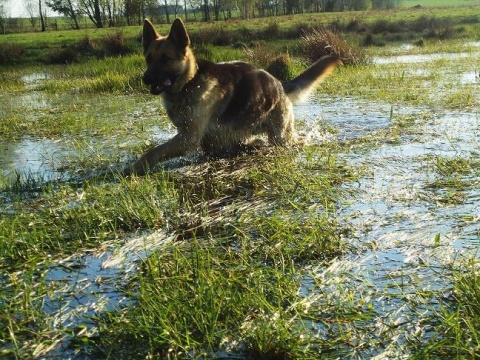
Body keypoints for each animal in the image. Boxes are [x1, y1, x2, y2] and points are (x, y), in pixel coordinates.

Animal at [124, 18, 342, 176]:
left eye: (166, 59)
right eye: (148, 59)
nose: (145, 78)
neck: (189, 83)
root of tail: (279, 82)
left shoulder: (188, 138)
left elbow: (155, 151)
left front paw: (133, 168)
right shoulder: (201, 139)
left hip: (280, 137)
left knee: (293, 141)